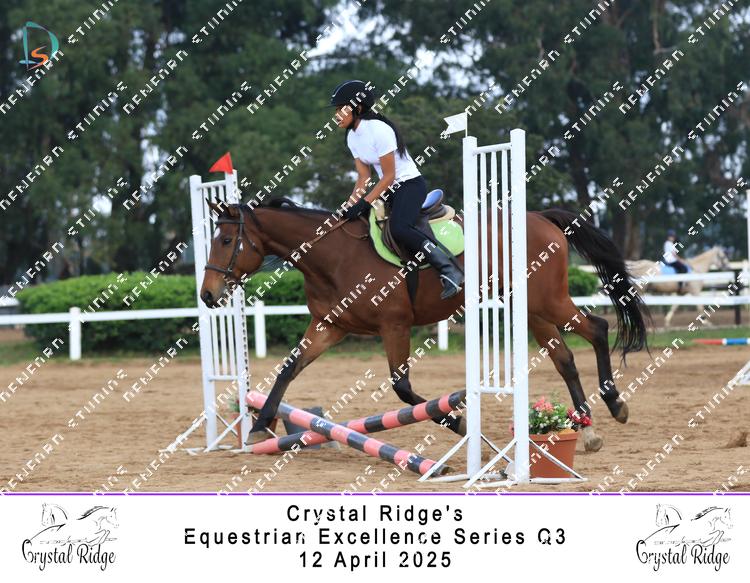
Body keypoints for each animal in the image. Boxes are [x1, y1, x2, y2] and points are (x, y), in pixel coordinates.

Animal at [199, 199, 650, 453]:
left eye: (225, 241)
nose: (206, 295)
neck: (334, 257)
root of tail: (543, 217)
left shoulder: (394, 325)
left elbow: (402, 388)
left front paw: (460, 424)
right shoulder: (330, 326)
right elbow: (289, 367)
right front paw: (260, 426)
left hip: (546, 300)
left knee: (597, 328)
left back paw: (615, 405)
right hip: (532, 309)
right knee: (565, 358)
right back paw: (587, 431)